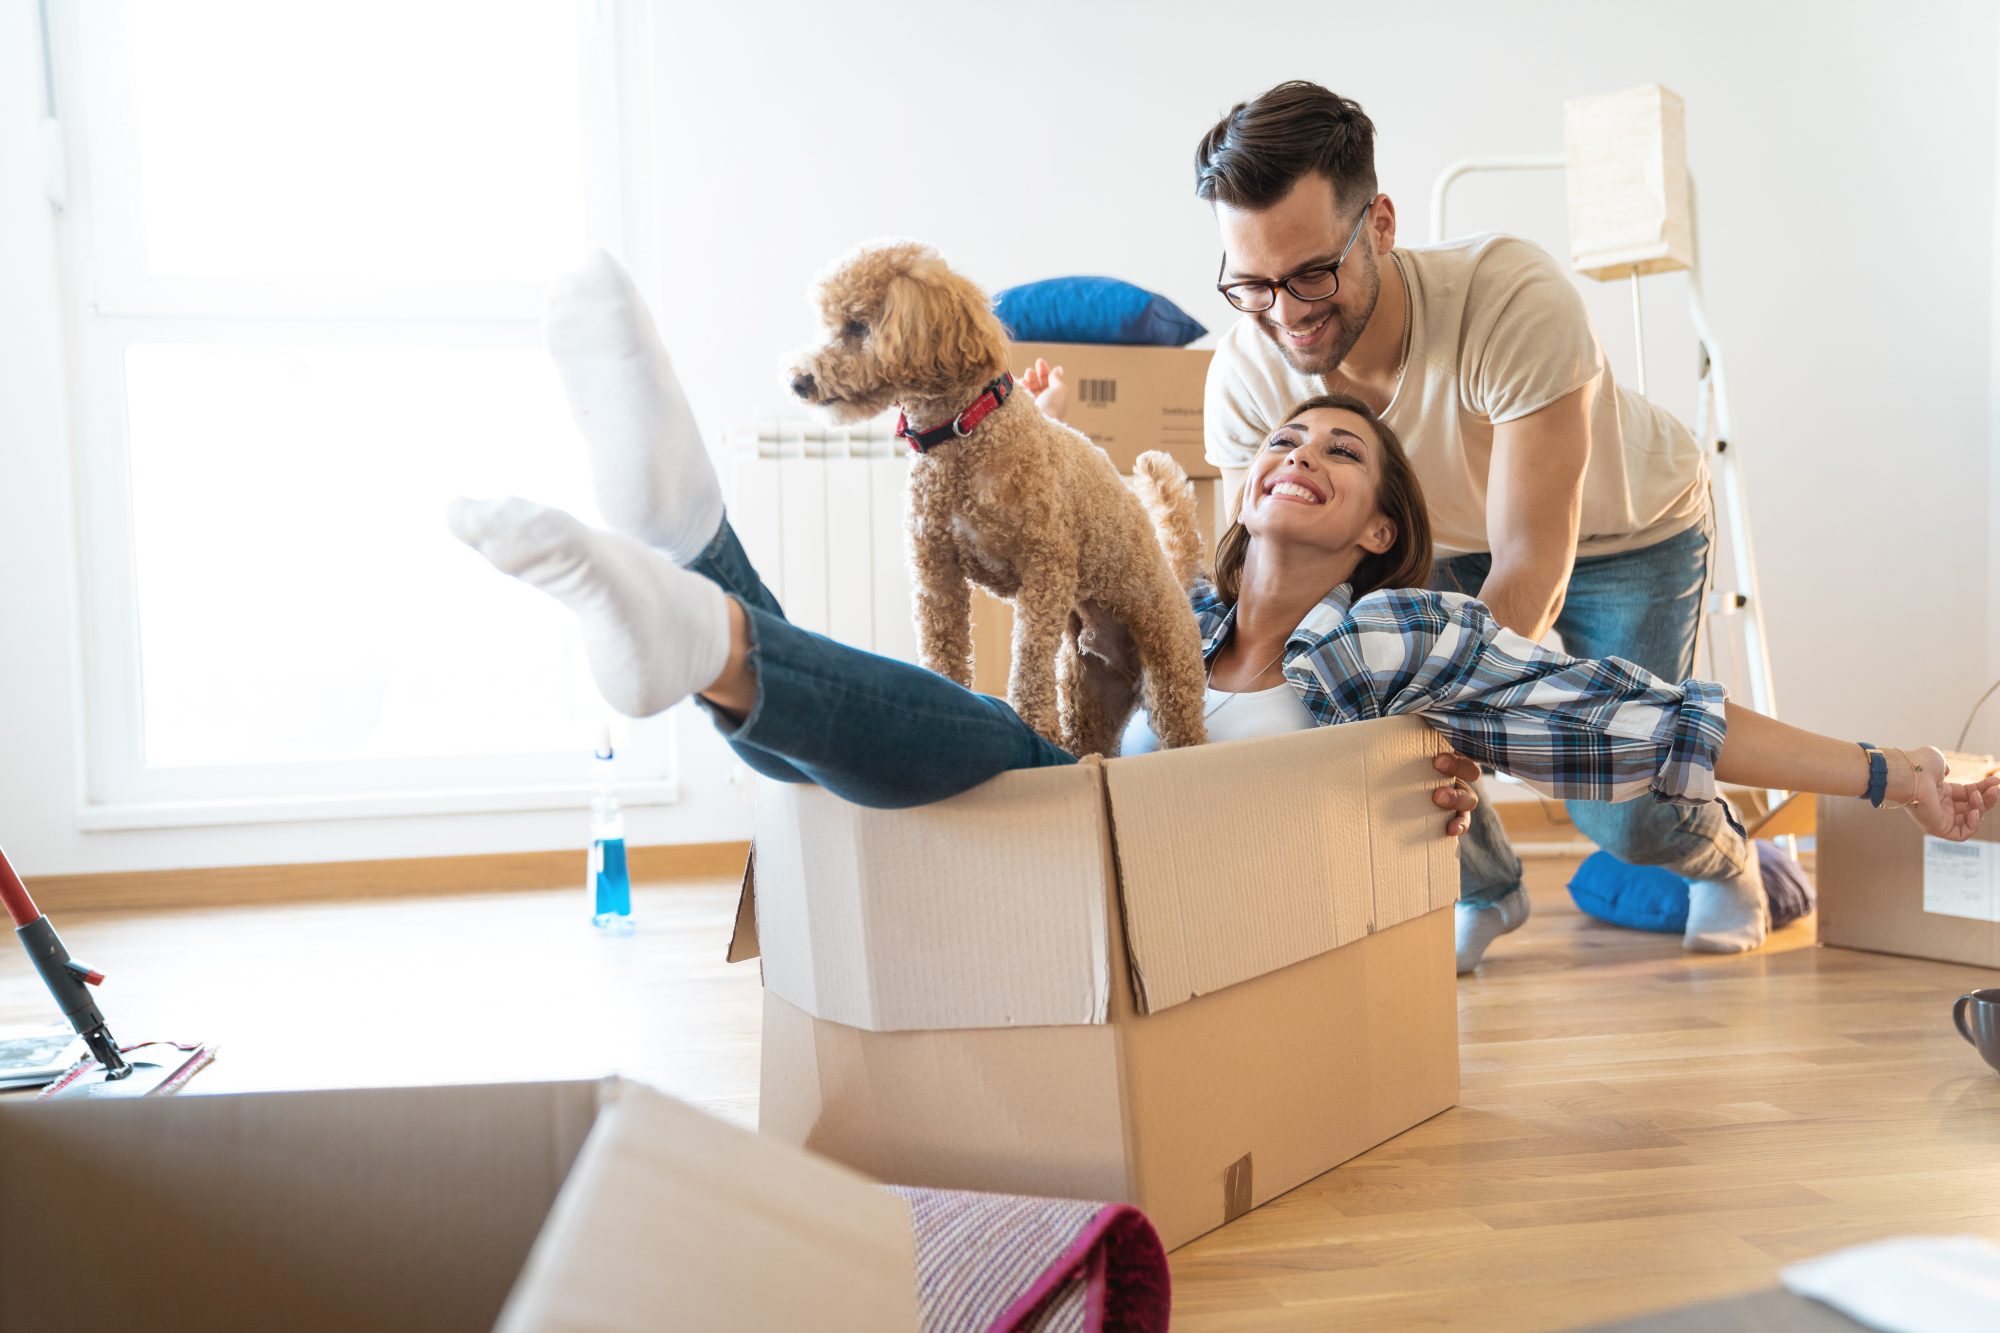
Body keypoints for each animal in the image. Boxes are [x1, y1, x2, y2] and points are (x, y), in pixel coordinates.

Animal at [788, 240, 1208, 752]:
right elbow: (942, 650)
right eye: (828, 323)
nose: (799, 381)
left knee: (1185, 734)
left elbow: (1028, 658)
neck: (962, 432)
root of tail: (1178, 583)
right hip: (1089, 694)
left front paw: (1034, 723)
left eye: (857, 326)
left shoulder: (1045, 570)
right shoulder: (937, 574)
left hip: (1171, 679)